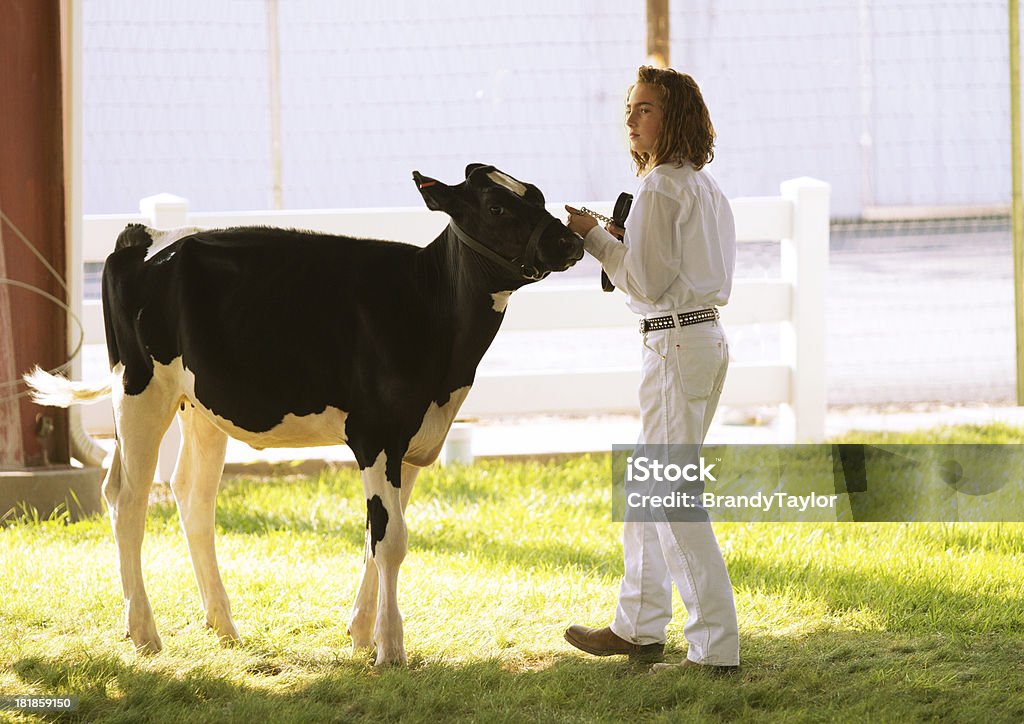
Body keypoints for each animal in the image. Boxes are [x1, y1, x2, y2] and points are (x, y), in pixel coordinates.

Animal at [25, 165, 585, 667]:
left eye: (537, 195)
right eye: (496, 207)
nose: (570, 240)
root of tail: (144, 236)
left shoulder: (414, 442)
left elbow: (378, 536)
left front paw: (361, 634)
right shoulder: (376, 435)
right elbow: (391, 541)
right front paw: (390, 649)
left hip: (200, 405)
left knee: (192, 496)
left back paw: (223, 625)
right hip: (140, 390)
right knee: (128, 500)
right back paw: (143, 632)